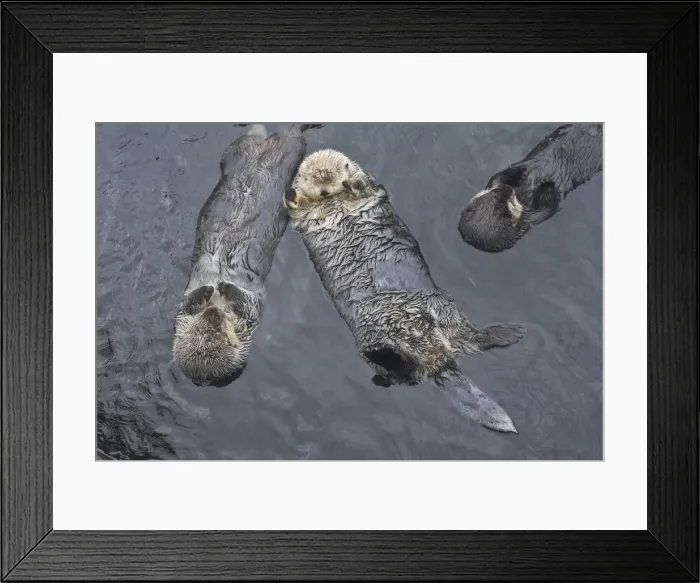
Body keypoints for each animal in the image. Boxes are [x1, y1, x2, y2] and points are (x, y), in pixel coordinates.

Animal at [173, 123, 322, 386]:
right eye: (205, 328)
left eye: (221, 328)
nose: (213, 310)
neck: (219, 304)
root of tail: (267, 143)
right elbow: (197, 302)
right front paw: (213, 289)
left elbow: (237, 301)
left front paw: (220, 287)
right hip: (255, 152)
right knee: (276, 134)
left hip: (266, 151)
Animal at [284, 149, 525, 433]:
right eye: (313, 180)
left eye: (333, 176)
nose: (324, 191)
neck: (333, 202)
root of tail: (438, 361)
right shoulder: (304, 218)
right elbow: (297, 210)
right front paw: (292, 194)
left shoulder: (371, 190)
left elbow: (365, 187)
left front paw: (350, 183)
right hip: (377, 334)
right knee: (416, 365)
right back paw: (508, 334)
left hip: (441, 309)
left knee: (460, 343)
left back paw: (509, 333)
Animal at [458, 123, 603, 253]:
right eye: (509, 202)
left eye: (496, 192)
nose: (507, 188)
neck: (522, 192)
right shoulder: (533, 217)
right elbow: (551, 203)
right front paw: (547, 185)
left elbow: (499, 175)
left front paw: (518, 172)